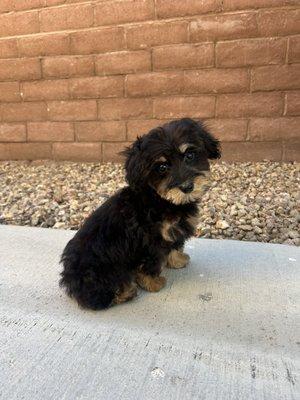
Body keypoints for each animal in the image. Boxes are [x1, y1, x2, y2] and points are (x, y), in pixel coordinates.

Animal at [59, 117, 220, 310]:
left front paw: (177, 260)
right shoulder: (150, 241)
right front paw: (153, 283)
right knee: (98, 297)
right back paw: (126, 291)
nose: (187, 187)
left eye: (190, 155)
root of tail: (71, 281)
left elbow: (174, 247)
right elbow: (151, 263)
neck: (160, 199)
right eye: (162, 167)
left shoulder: (171, 232)